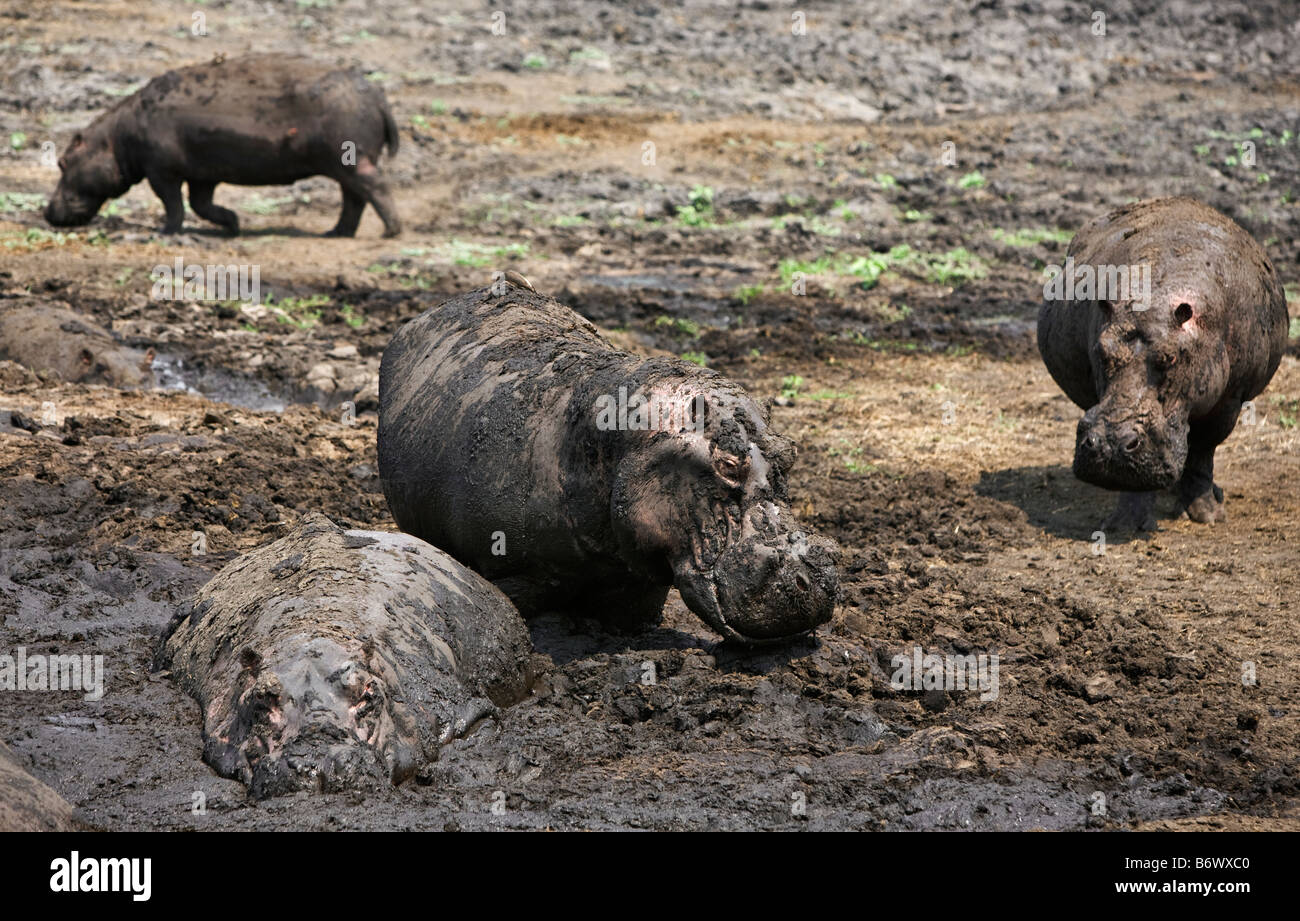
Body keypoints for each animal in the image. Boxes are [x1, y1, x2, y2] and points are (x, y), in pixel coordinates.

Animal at [45, 54, 401, 238]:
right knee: (354, 197)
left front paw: (165, 231)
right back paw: (336, 232)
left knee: (375, 187)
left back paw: (390, 232)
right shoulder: (203, 174)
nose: (47, 211)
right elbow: (201, 204)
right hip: (344, 164)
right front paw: (234, 224)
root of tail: (378, 96)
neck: (114, 139)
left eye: (63, 161)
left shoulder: (161, 171)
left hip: (351, 158)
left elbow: (173, 204)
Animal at [1038, 197, 1288, 530]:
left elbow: (1203, 453)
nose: (1109, 444)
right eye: (1101, 351)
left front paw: (1208, 516)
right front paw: (1123, 525)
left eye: (1171, 357)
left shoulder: (1229, 400)